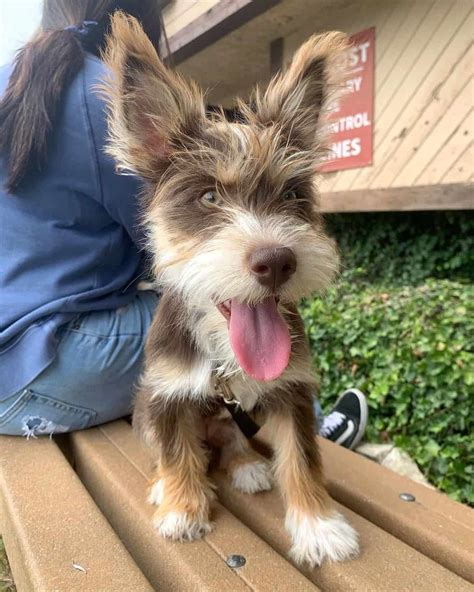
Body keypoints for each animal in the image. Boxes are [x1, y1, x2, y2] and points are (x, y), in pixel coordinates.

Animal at [103, 11, 360, 568]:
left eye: (292, 195)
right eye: (207, 197)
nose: (277, 260)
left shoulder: (293, 391)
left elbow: (302, 455)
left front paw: (319, 524)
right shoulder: (168, 392)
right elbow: (175, 449)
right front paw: (182, 507)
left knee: (231, 436)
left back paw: (246, 464)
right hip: (145, 409)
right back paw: (168, 485)